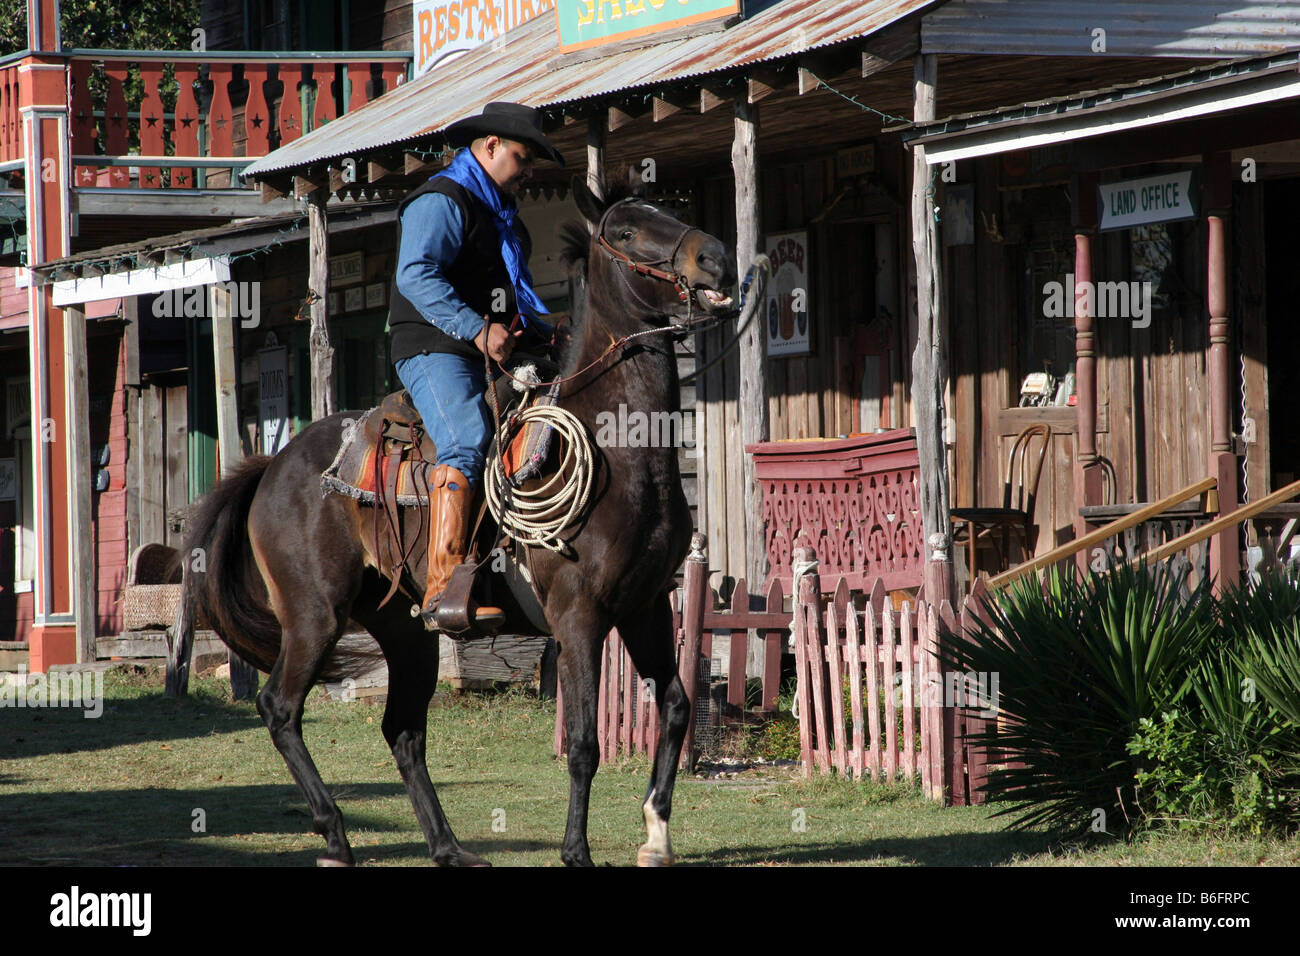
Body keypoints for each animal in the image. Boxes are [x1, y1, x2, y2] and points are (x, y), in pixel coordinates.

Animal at [180, 179, 743, 868]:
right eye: (628, 231)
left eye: (670, 209)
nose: (716, 257)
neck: (621, 449)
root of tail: (274, 466)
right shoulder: (579, 616)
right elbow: (584, 742)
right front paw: (576, 852)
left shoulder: (646, 606)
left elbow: (676, 707)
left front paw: (656, 834)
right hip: (315, 616)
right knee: (279, 707)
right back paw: (335, 834)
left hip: (408, 630)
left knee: (402, 730)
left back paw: (449, 848)